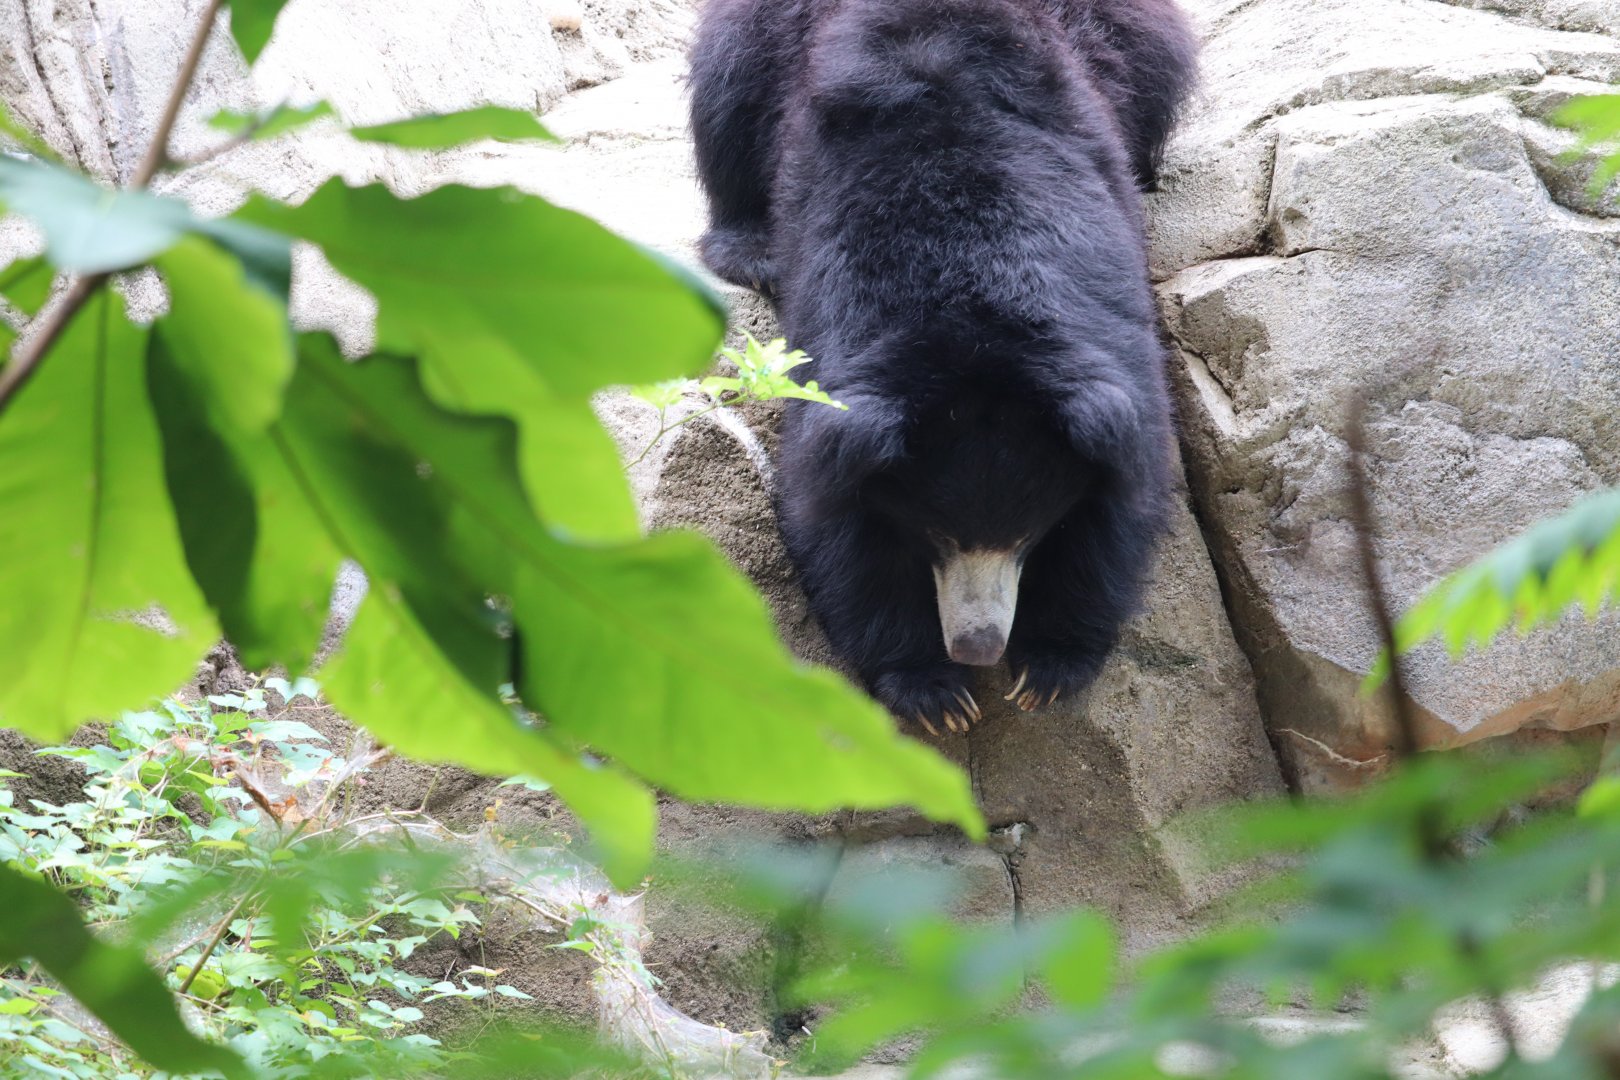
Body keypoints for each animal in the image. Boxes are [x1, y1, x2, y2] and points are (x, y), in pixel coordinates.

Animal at [689, 0, 1196, 735]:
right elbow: (833, 520)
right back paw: (751, 249)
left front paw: (1047, 671)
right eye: (934, 531)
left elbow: (1124, 498)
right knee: (728, 90)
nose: (979, 647)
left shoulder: (1106, 348)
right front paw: (935, 694)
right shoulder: (847, 364)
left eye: (1029, 530)